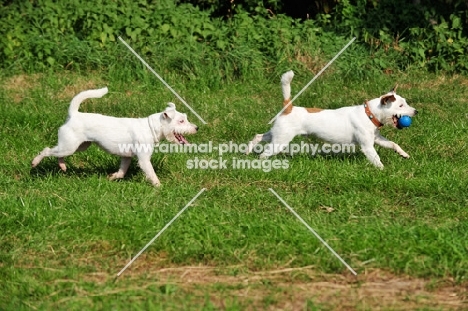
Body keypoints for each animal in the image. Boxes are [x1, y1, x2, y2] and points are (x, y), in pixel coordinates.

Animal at [32, 86, 197, 186]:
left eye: (185, 118)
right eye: (181, 121)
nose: (197, 128)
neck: (150, 128)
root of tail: (73, 114)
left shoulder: (126, 157)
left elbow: (122, 172)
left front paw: (112, 177)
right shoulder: (143, 160)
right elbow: (151, 173)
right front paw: (159, 186)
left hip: (79, 146)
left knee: (58, 154)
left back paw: (62, 166)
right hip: (69, 146)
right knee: (46, 150)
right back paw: (35, 162)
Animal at [247, 71, 418, 169]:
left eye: (405, 102)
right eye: (401, 105)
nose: (416, 111)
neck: (369, 114)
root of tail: (289, 106)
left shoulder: (377, 139)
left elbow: (393, 144)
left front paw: (403, 154)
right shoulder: (367, 146)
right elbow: (376, 159)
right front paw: (383, 170)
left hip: (277, 133)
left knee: (259, 136)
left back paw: (248, 149)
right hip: (281, 140)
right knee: (264, 153)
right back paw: (260, 163)